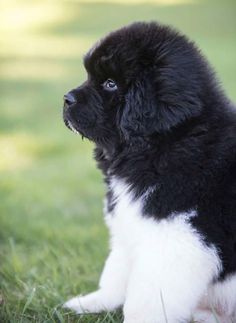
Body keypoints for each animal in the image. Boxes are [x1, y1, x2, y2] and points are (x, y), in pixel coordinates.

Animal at [62, 22, 236, 323]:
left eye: (110, 83)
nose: (66, 99)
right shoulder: (130, 221)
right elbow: (117, 269)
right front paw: (93, 302)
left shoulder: (177, 238)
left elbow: (147, 299)